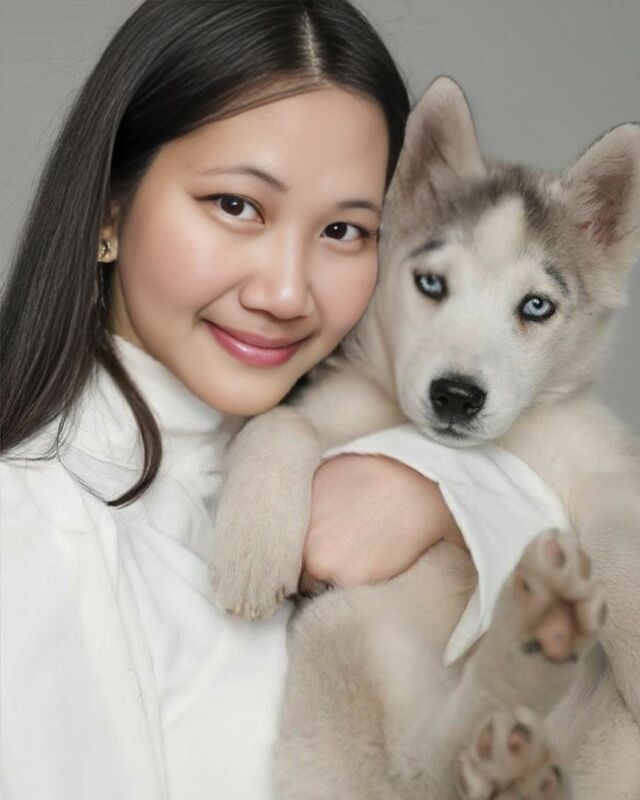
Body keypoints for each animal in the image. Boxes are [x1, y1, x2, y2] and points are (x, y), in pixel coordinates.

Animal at [209, 77, 640, 798]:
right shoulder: (334, 409)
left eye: (536, 306)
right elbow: (278, 420)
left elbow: (617, 528)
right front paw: (253, 547)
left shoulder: (604, 463)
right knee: (425, 767)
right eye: (431, 283)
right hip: (344, 627)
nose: (456, 396)